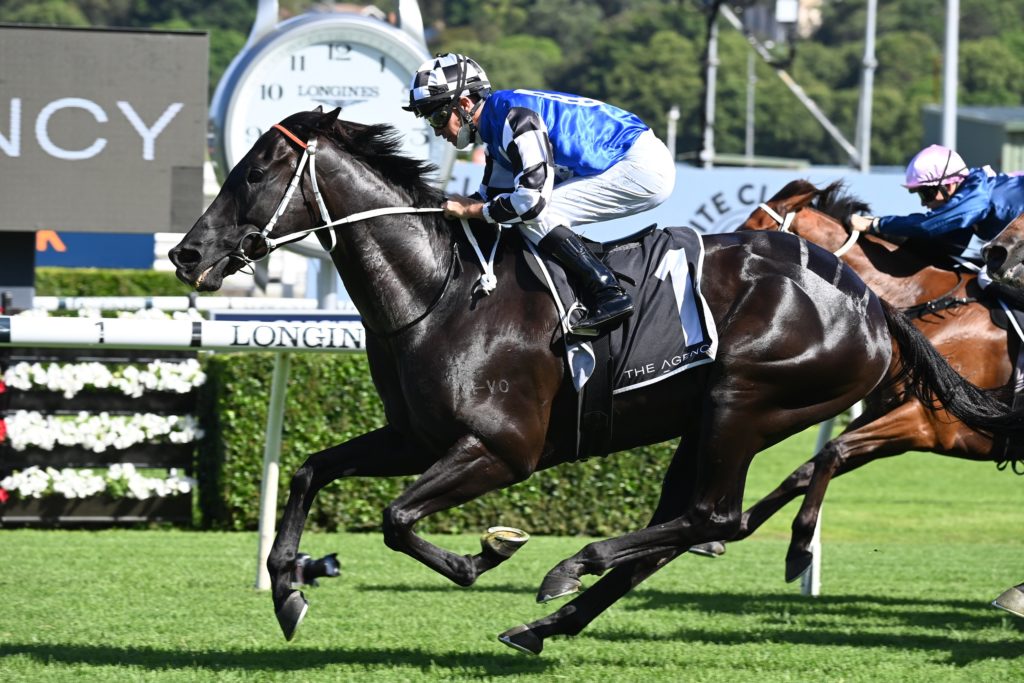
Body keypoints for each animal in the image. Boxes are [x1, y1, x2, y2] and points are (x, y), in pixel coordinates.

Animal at [730, 179, 1021, 584]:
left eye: (755, 226)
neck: (928, 305)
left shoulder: (926, 423)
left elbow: (831, 453)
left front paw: (800, 545)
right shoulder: (885, 414)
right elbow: (809, 467)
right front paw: (735, 527)